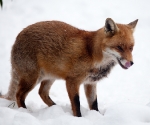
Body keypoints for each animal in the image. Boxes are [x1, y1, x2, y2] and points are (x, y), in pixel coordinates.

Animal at [0, 18, 138, 116]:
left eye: (131, 48)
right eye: (119, 47)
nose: (131, 63)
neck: (92, 54)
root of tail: (17, 37)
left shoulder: (90, 83)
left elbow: (94, 104)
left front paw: (98, 117)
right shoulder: (72, 81)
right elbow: (76, 104)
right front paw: (79, 118)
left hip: (49, 77)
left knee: (42, 92)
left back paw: (55, 107)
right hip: (32, 79)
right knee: (19, 95)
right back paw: (26, 112)